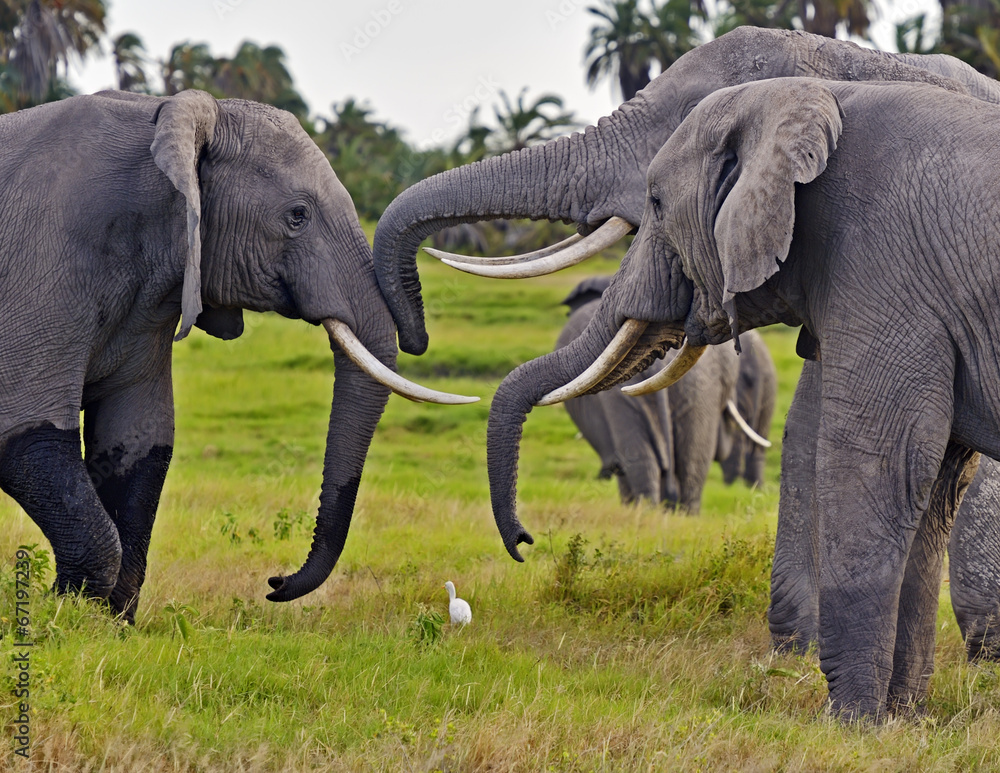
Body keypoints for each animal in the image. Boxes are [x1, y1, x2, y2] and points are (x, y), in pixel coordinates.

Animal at [0, 89, 468, 621]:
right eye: (297, 215)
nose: (275, 582)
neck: (161, 119)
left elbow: (137, 447)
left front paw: (104, 623)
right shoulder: (43, 261)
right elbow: (26, 435)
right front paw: (61, 616)